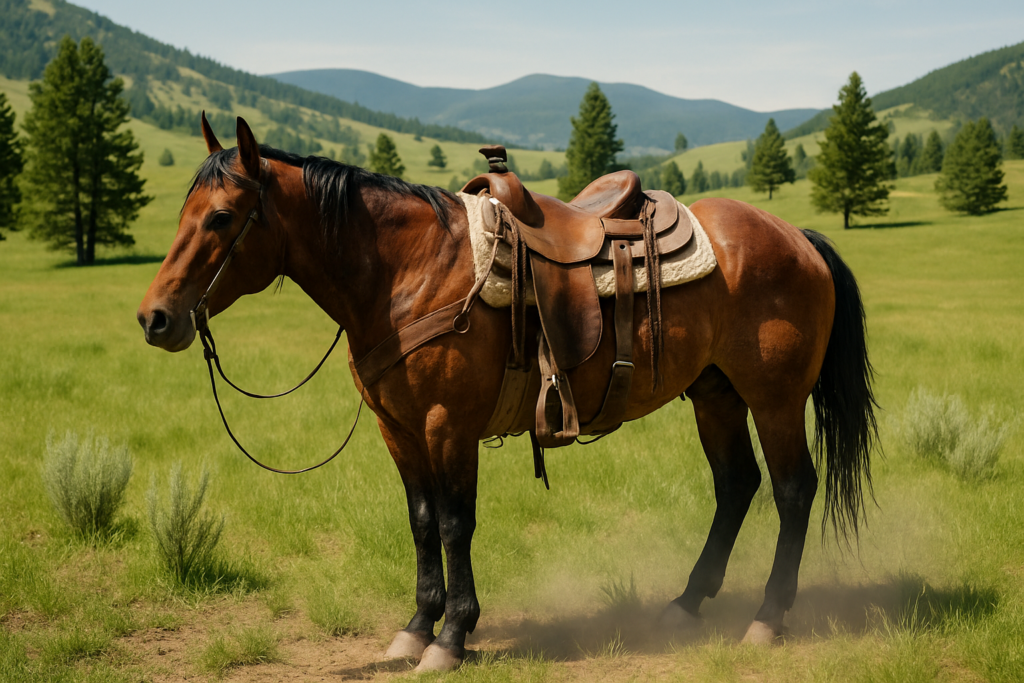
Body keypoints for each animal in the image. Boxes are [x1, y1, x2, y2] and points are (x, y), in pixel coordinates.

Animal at [137, 116, 877, 671]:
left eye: (222, 216)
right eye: (182, 213)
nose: (155, 318)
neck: (407, 271)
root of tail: (795, 236)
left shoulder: (448, 426)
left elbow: (455, 523)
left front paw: (452, 636)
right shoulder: (397, 428)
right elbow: (422, 521)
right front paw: (417, 625)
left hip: (774, 398)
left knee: (792, 489)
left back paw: (768, 617)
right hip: (715, 394)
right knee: (736, 485)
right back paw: (687, 604)